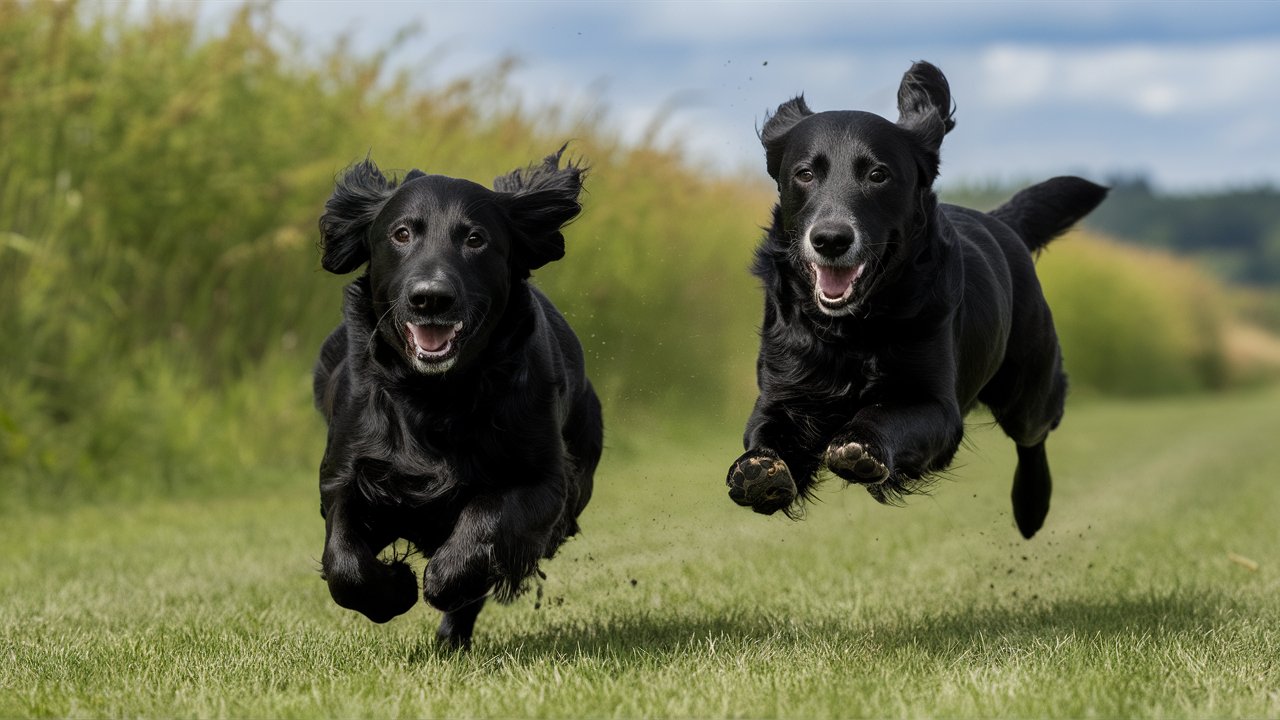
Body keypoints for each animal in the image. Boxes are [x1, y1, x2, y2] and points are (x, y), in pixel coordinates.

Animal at [314, 148, 604, 648]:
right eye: (402, 233)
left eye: (475, 239)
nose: (431, 298)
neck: (436, 394)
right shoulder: (344, 472)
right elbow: (343, 562)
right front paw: (393, 591)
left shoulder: (545, 482)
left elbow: (486, 521)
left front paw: (445, 579)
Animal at [732, 61, 1111, 535]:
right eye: (804, 173)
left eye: (878, 175)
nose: (831, 240)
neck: (852, 329)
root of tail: (1002, 222)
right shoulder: (785, 390)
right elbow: (764, 432)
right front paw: (758, 472)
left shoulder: (937, 406)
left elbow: (883, 413)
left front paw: (861, 445)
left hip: (1028, 388)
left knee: (1036, 433)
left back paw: (1031, 505)